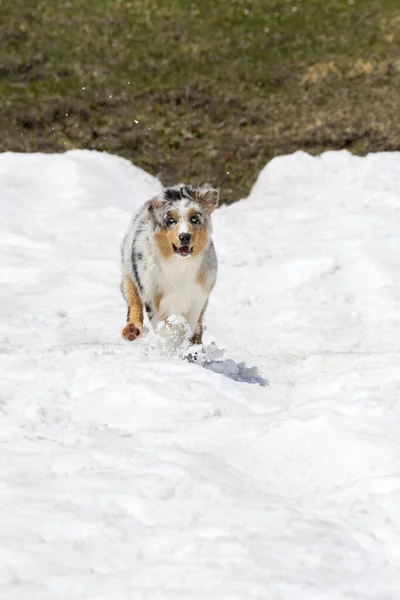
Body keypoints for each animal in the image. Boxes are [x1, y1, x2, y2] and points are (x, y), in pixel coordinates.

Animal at [121, 183, 219, 344]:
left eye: (194, 219)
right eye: (171, 220)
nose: (184, 237)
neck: (179, 265)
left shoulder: (196, 297)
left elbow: (188, 327)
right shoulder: (154, 297)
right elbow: (165, 332)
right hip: (129, 271)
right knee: (133, 298)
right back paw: (131, 330)